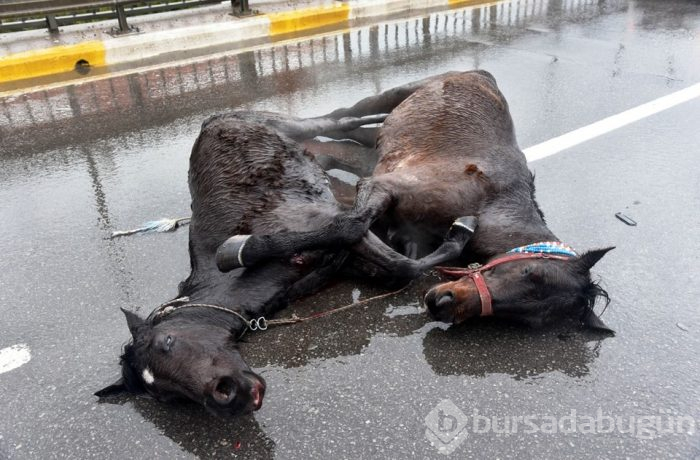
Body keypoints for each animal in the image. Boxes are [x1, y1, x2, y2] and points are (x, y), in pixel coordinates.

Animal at [94, 76, 476, 416]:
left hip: (290, 124)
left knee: (340, 119)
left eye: (167, 342)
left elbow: (382, 251)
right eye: (166, 396)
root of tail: (209, 120)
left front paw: (459, 231)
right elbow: (396, 268)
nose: (230, 398)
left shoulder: (331, 221)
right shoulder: (348, 257)